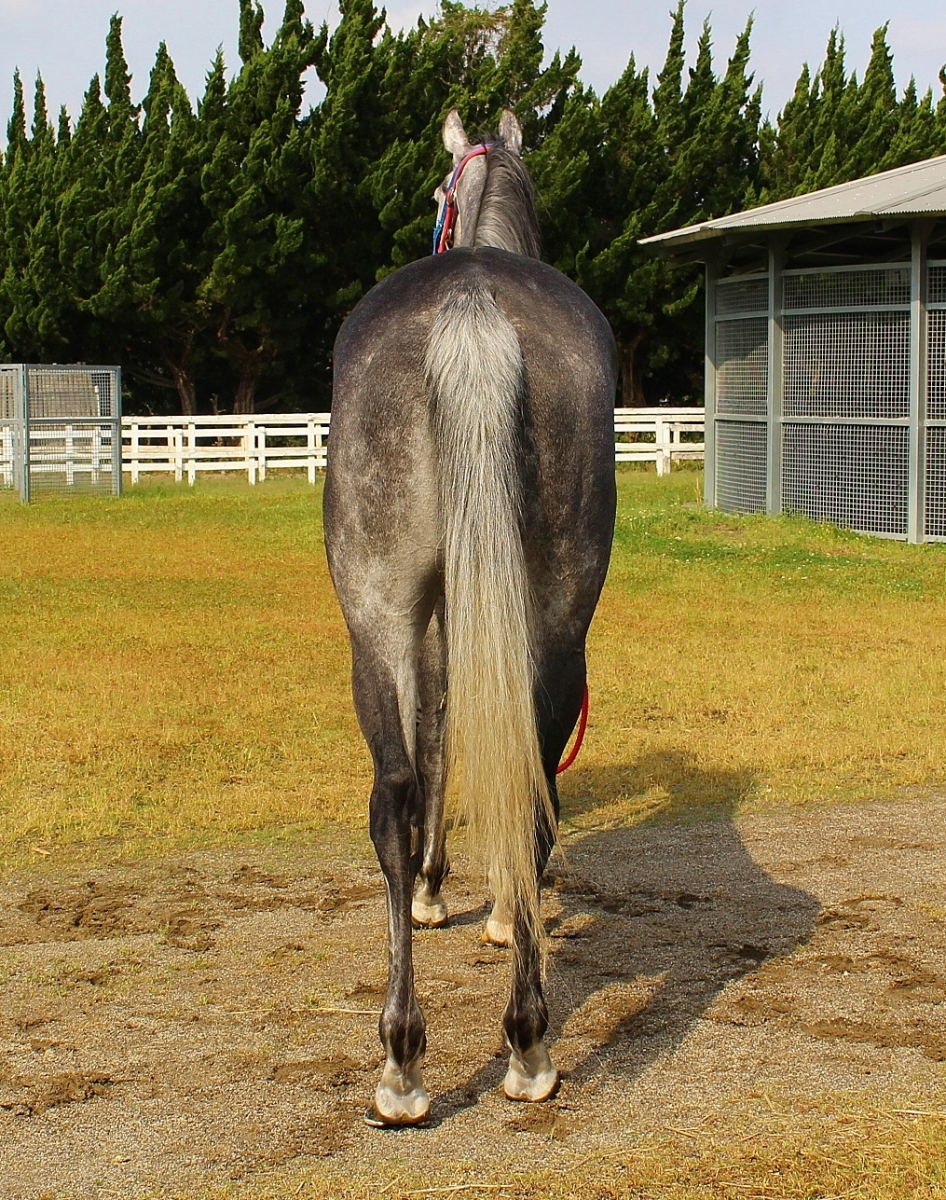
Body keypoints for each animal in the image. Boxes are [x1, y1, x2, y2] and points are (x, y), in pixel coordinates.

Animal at [324, 110, 619, 1123]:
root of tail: (475, 303)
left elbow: (446, 743)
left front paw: (438, 892)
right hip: (541, 621)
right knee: (475, 791)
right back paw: (483, 1045)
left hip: (385, 616)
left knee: (403, 796)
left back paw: (430, 1058)